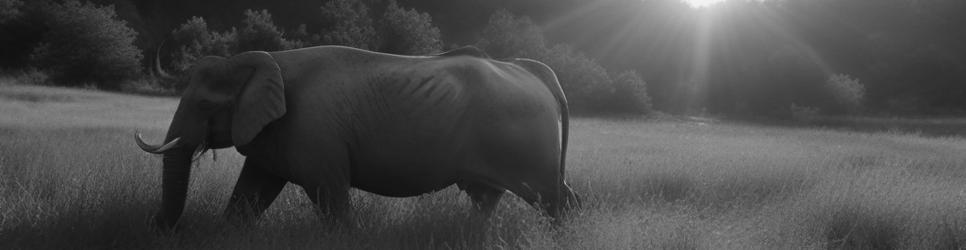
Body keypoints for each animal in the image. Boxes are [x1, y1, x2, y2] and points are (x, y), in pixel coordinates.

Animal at [136, 45, 584, 229]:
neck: (266, 61)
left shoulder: (316, 135)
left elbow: (330, 196)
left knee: (551, 198)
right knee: (493, 198)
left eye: (205, 105)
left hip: (525, 143)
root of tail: (532, 70)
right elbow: (251, 192)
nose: (160, 227)